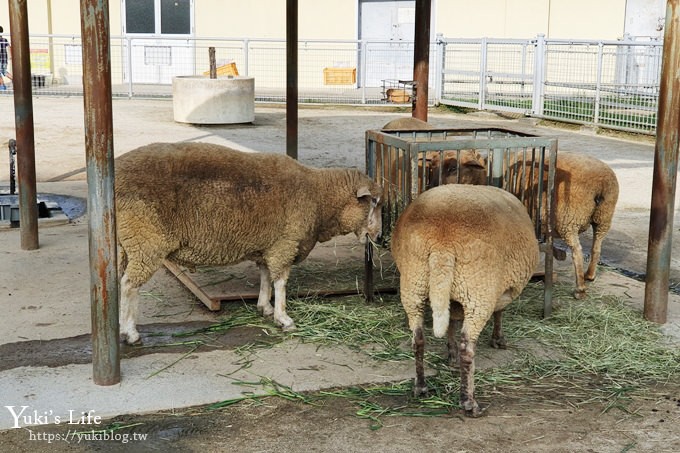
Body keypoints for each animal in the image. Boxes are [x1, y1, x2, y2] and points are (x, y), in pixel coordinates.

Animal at [115, 143, 382, 344]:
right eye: (373, 202)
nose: (379, 236)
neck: (319, 197)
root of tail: (114, 176)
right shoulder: (285, 244)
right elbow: (281, 282)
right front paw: (283, 318)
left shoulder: (268, 245)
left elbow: (265, 276)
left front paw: (264, 307)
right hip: (146, 242)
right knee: (129, 285)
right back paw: (130, 333)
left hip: (125, 244)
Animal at [390, 184, 540, 416]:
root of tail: (441, 241)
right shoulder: (501, 289)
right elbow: (499, 312)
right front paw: (498, 339)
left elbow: (451, 321)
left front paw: (450, 353)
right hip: (478, 290)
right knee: (467, 347)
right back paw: (469, 401)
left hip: (414, 284)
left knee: (418, 338)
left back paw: (421, 386)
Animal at [430, 152, 620, 300]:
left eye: (453, 168)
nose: (431, 187)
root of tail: (601, 184)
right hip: (603, 217)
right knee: (597, 246)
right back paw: (590, 275)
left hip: (569, 220)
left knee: (578, 252)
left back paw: (580, 289)